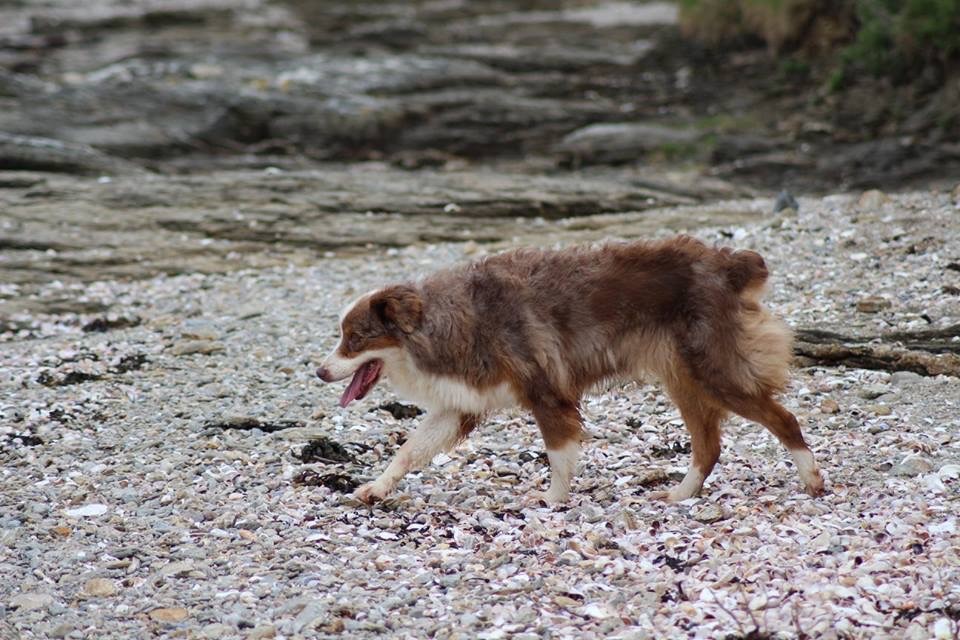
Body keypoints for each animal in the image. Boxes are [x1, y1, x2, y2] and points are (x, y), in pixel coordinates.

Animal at [316, 235, 824, 504]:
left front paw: (553, 501)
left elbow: (558, 454)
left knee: (784, 418)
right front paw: (375, 487)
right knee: (710, 445)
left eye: (353, 338)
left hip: (714, 372)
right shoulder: (460, 404)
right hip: (684, 379)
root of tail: (730, 263)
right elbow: (408, 450)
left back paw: (812, 480)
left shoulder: (546, 392)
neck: (442, 320)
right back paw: (681, 495)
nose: (320, 372)